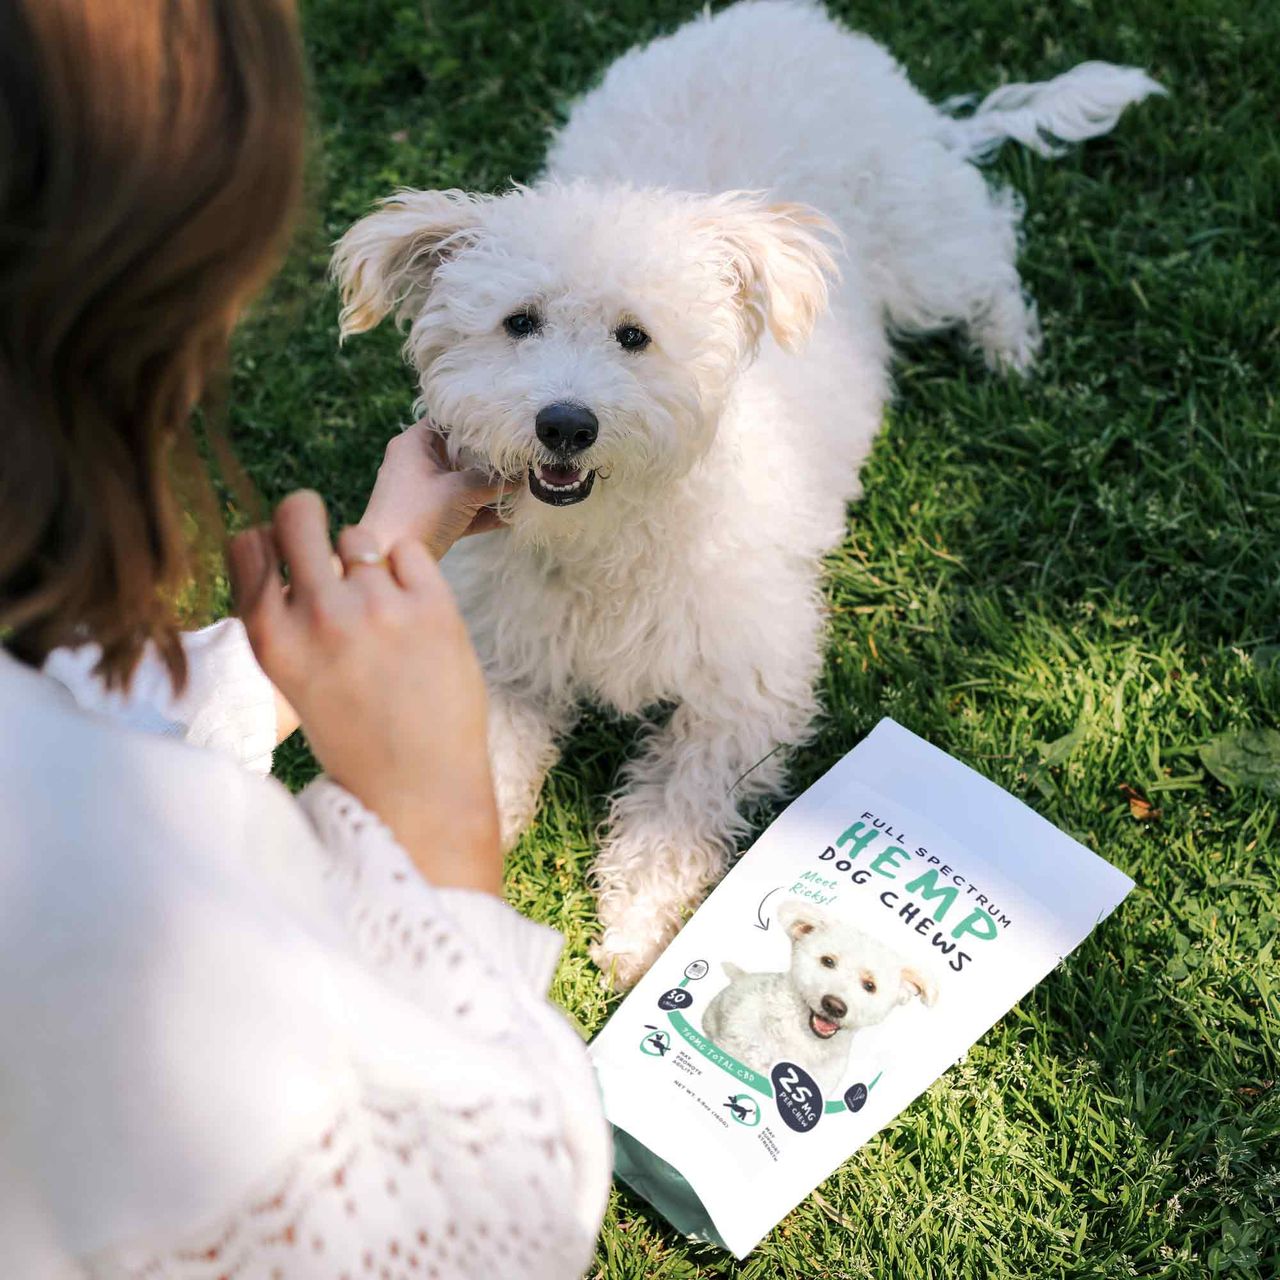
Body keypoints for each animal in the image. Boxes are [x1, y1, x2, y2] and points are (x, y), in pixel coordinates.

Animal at [330, 0, 1162, 988]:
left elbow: (676, 809)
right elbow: (483, 770)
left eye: (635, 336)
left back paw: (1010, 350)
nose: (565, 424)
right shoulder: (503, 659)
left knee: (992, 249)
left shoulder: (743, 686)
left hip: (928, 256)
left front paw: (637, 932)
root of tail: (797, 22)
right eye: (518, 322)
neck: (613, 536)